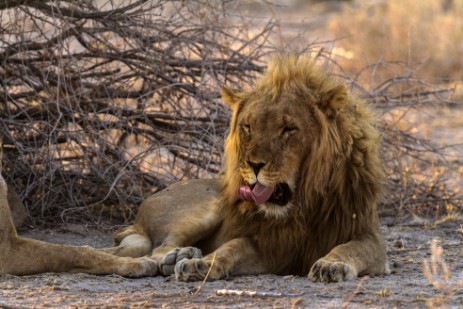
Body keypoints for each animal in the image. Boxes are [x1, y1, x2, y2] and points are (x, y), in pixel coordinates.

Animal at [103, 53, 390, 282]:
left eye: (289, 129)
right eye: (248, 126)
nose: (253, 164)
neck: (301, 207)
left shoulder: (370, 238)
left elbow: (348, 248)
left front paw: (332, 265)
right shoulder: (268, 242)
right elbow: (231, 247)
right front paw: (202, 264)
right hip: (203, 210)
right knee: (158, 250)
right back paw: (177, 258)